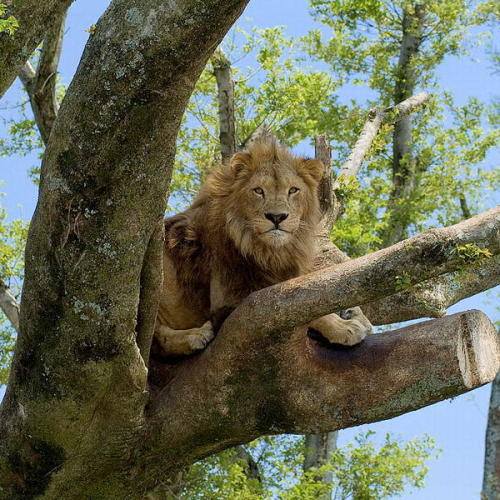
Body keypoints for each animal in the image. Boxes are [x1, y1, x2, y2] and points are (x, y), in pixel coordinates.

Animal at [156, 137, 372, 356]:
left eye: (293, 190)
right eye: (258, 191)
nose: (277, 217)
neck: (268, 250)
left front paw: (353, 314)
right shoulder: (230, 300)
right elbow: (300, 311)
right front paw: (344, 327)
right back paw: (195, 336)